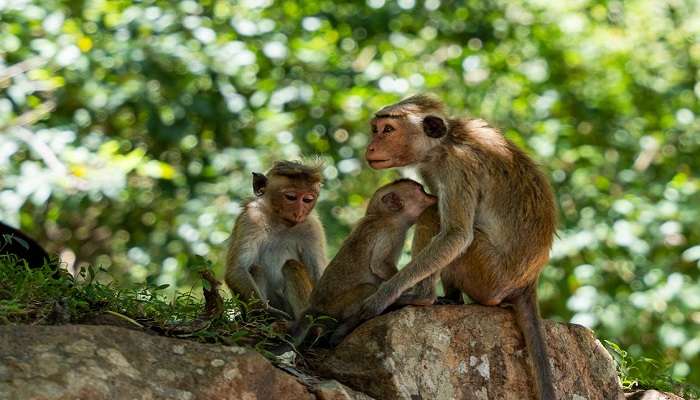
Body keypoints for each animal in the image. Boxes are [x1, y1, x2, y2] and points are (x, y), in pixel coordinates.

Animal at [227, 159, 330, 318]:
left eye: (307, 199)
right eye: (291, 197)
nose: (299, 212)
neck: (279, 222)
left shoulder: (312, 227)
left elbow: (318, 275)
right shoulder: (251, 218)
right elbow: (236, 269)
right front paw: (266, 311)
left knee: (291, 266)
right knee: (255, 267)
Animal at [288, 180, 432, 348]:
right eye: (421, 190)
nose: (432, 196)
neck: (383, 216)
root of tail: (314, 306)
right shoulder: (389, 231)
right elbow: (379, 265)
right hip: (336, 307)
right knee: (367, 288)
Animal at [336, 95, 560, 398]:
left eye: (388, 130)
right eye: (375, 129)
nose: (371, 146)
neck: (445, 143)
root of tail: (527, 282)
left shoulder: (457, 167)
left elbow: (456, 235)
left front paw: (383, 296)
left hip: (488, 275)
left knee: (436, 218)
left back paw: (423, 297)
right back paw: (450, 298)